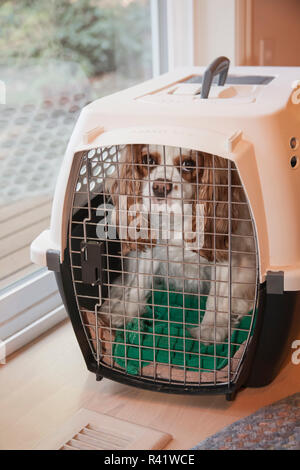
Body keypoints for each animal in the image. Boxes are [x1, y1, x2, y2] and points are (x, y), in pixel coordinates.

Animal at [99, 145, 256, 344]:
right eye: (148, 160)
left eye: (188, 164)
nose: (160, 187)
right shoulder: (150, 251)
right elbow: (139, 284)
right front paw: (125, 312)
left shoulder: (224, 260)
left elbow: (216, 298)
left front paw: (210, 330)